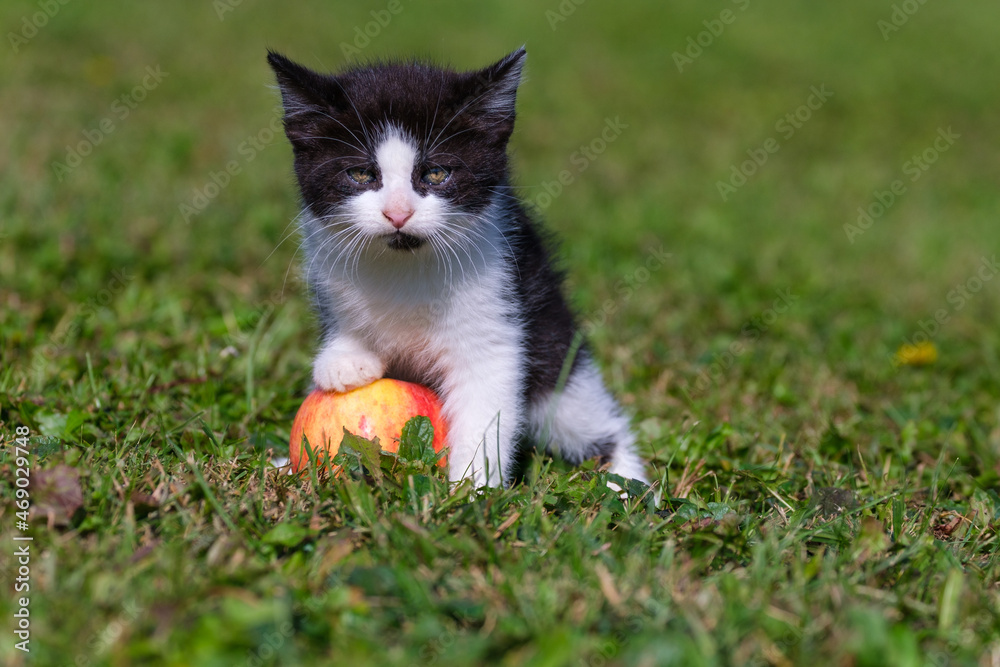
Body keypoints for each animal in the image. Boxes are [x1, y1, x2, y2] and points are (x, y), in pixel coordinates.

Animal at [270, 45, 652, 486]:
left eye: (436, 173)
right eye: (361, 174)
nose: (397, 213)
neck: (405, 264)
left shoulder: (498, 303)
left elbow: (485, 405)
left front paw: (471, 490)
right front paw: (345, 359)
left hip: (556, 350)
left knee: (591, 423)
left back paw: (627, 484)